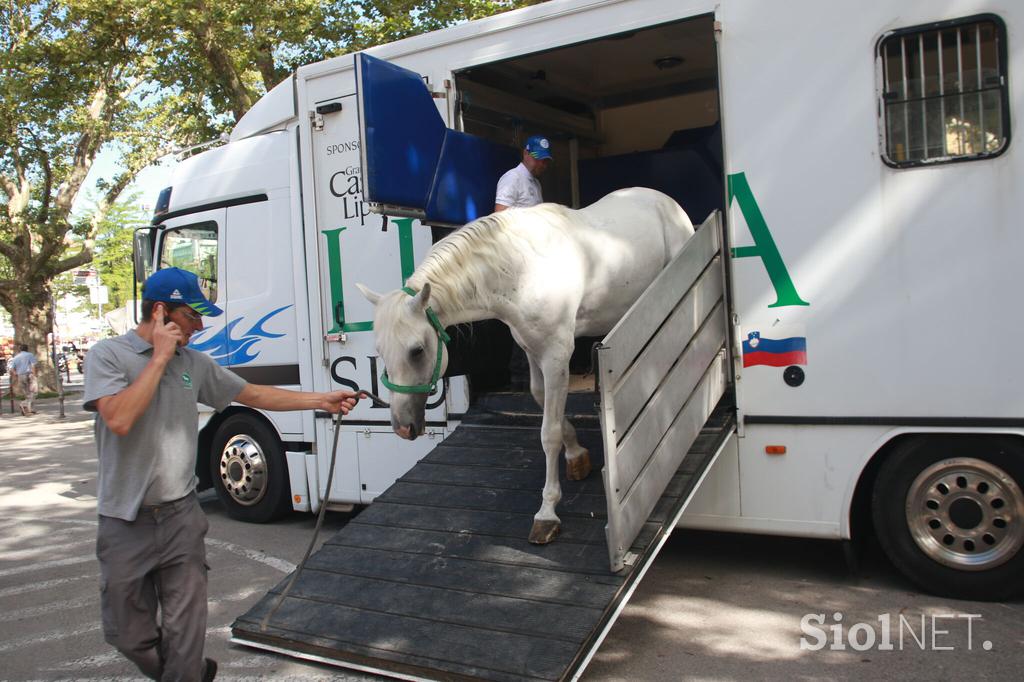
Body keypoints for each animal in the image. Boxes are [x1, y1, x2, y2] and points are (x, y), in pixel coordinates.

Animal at [358, 186, 696, 540]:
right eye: (381, 351)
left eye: (417, 350)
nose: (403, 427)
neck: (521, 271)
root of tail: (663, 199)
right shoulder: (534, 351)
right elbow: (540, 397)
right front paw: (577, 455)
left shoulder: (557, 354)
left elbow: (548, 432)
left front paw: (547, 511)